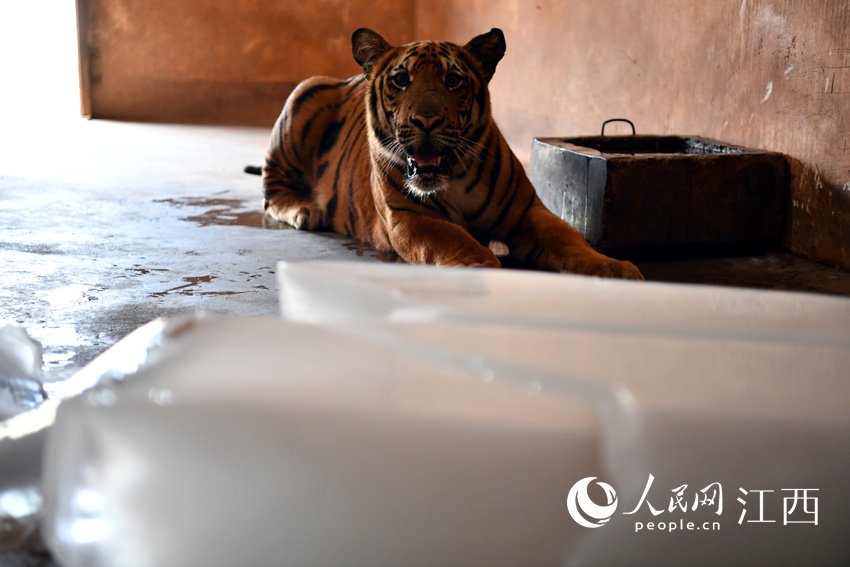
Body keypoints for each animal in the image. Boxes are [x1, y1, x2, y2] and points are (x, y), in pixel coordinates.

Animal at [262, 26, 640, 280]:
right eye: (401, 80)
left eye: (454, 80)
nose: (427, 119)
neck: (454, 177)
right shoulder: (408, 217)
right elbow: (450, 237)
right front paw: (479, 265)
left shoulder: (528, 212)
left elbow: (566, 235)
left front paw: (609, 267)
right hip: (305, 93)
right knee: (270, 191)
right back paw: (305, 210)